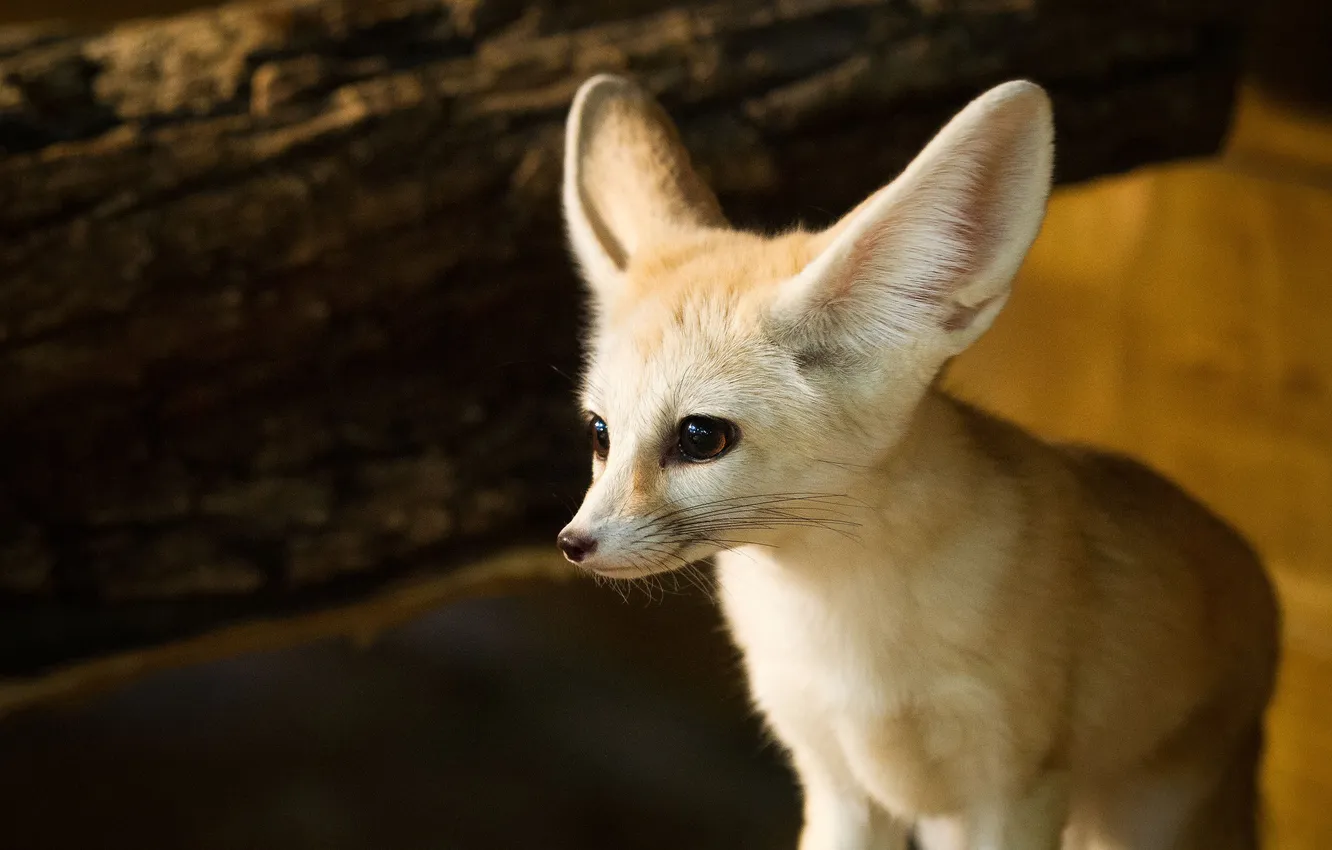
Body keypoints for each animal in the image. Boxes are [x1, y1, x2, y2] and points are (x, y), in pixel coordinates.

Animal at [554, 76, 1278, 847]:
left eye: (699, 437)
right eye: (599, 432)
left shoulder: (1011, 789)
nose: (573, 543)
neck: (842, 623)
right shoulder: (837, 785)